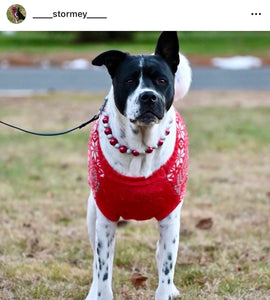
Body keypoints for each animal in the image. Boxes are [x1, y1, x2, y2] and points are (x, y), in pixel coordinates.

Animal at [85, 31, 191, 298]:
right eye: (130, 80)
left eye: (162, 81)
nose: (148, 96)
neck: (140, 149)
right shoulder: (106, 219)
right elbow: (103, 270)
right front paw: (100, 292)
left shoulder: (170, 219)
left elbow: (166, 269)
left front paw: (167, 290)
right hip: (92, 212)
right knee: (96, 262)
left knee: (161, 254)